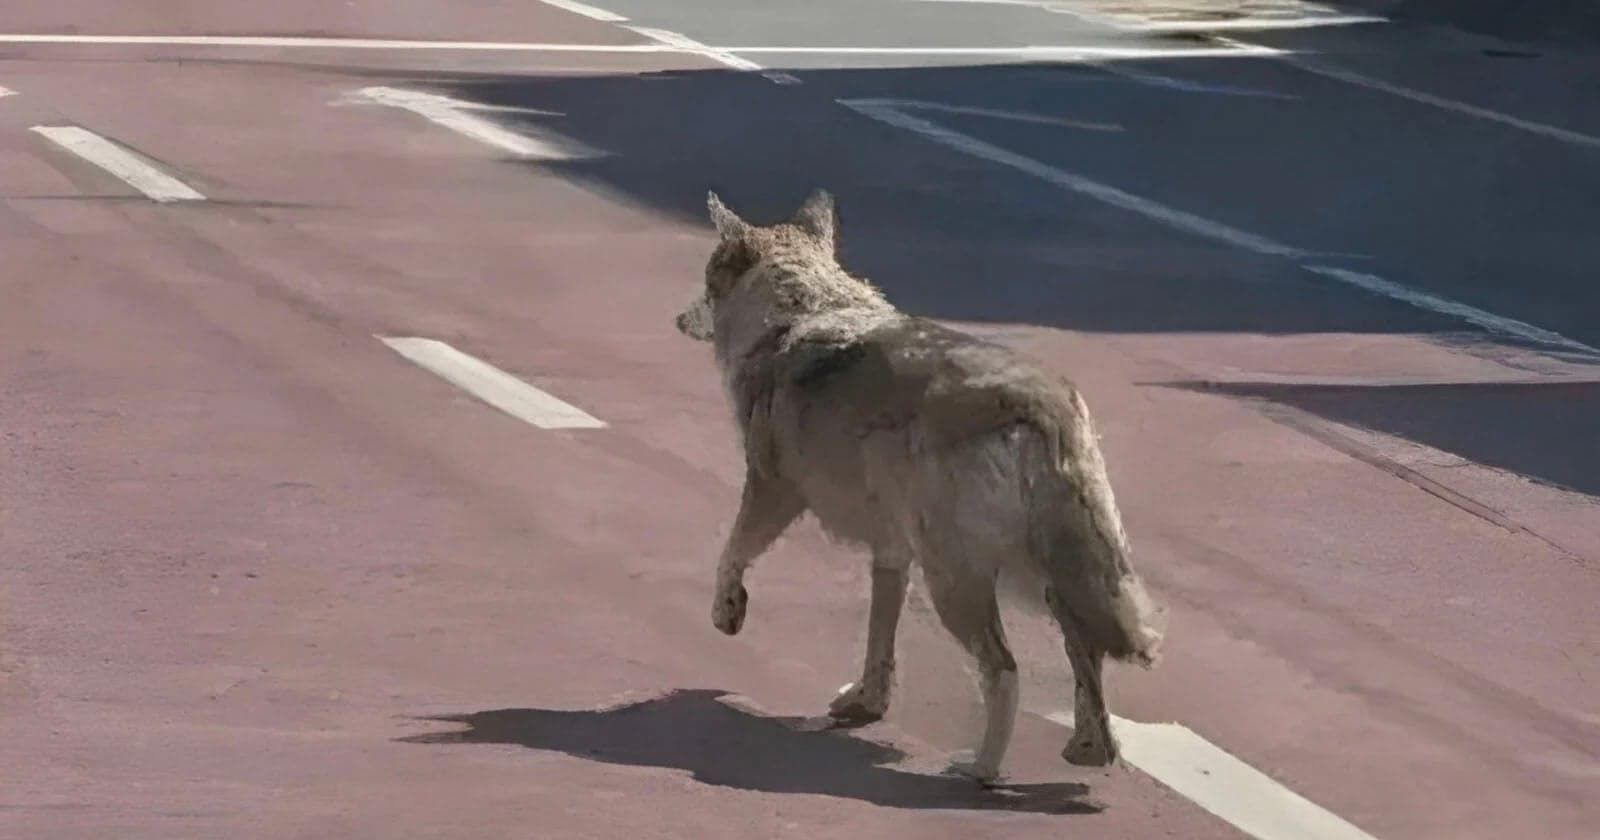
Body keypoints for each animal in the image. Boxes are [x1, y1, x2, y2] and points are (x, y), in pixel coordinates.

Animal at [674, 189, 1165, 781]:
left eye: (706, 284)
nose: (677, 319)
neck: (801, 311)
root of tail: (1044, 403)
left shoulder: (772, 491)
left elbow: (731, 554)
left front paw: (727, 612)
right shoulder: (890, 552)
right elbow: (878, 641)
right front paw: (865, 703)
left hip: (958, 582)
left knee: (1004, 670)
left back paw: (980, 770)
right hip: (1049, 580)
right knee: (1086, 655)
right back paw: (1089, 750)